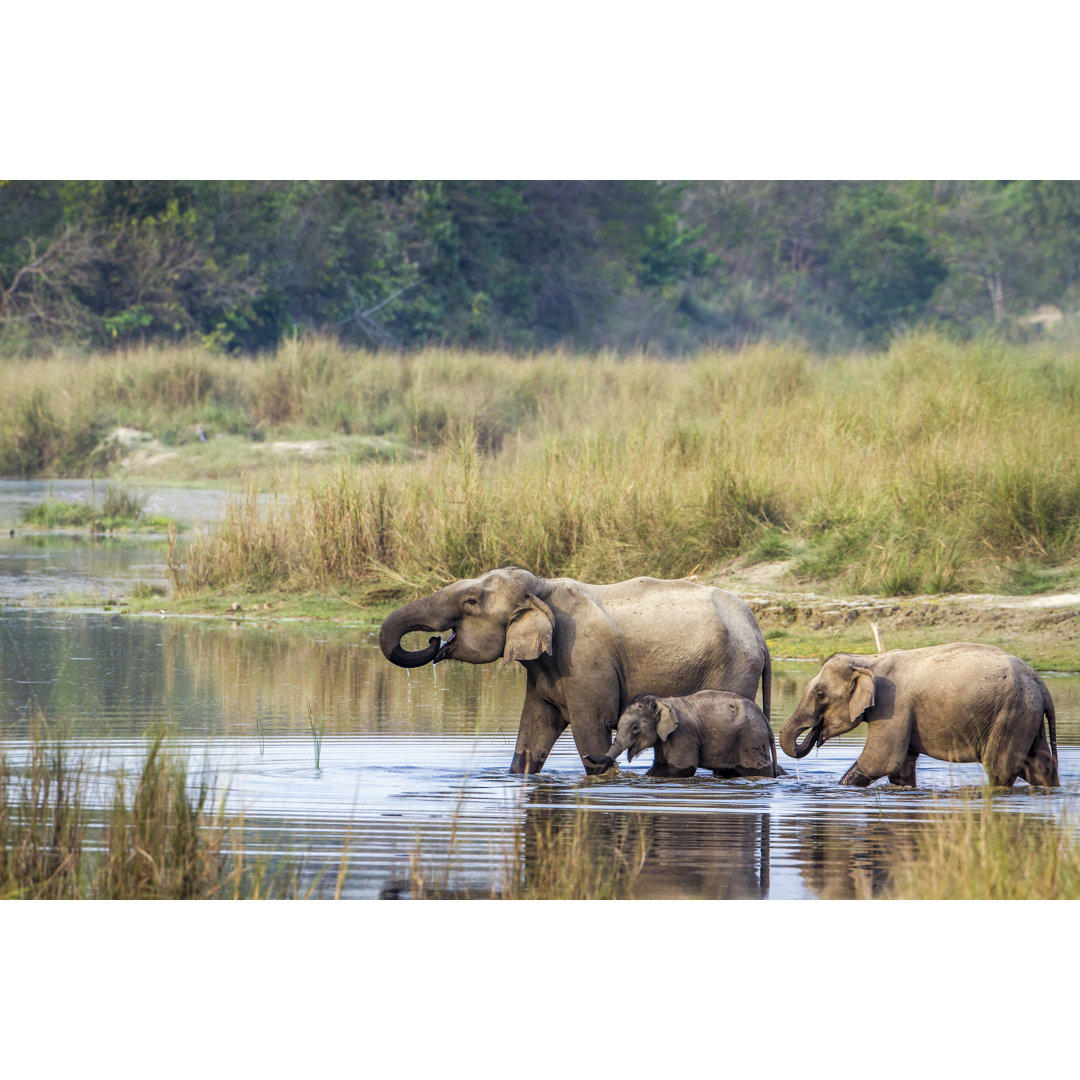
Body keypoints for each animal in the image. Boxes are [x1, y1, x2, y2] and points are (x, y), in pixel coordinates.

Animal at [587, 691, 781, 777]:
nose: (586, 755)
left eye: (635, 728)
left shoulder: (683, 736)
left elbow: (682, 768)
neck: (662, 700)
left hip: (752, 740)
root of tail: (765, 720)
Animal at [781, 639, 1058, 786]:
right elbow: (900, 769)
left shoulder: (893, 705)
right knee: (1039, 765)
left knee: (1000, 769)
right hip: (1026, 715)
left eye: (820, 695)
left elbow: (880, 761)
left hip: (1010, 714)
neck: (869, 660)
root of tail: (1042, 685)